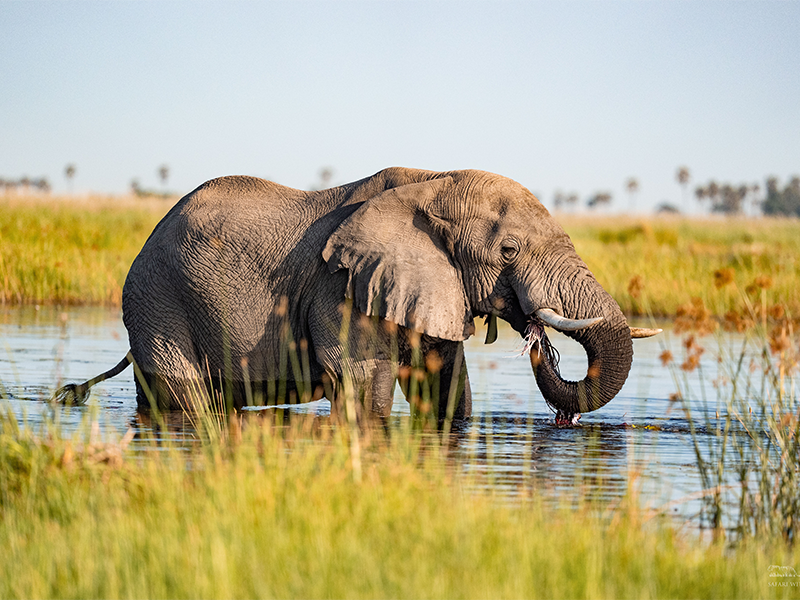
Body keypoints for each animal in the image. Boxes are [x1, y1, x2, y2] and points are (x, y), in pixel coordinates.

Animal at [55, 167, 659, 423]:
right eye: (508, 251)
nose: (538, 343)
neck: (433, 180)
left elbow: (445, 390)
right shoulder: (342, 286)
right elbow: (364, 390)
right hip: (157, 303)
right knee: (186, 400)